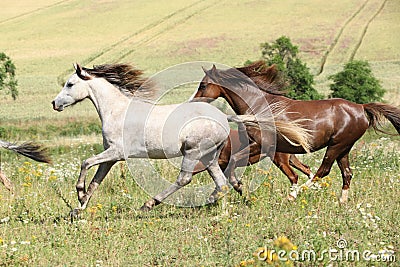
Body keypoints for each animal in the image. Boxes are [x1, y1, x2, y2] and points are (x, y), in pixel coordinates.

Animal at [193, 62, 400, 204]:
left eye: (203, 85)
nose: (193, 102)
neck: (258, 106)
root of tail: (361, 108)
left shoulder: (263, 145)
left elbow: (235, 160)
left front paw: (238, 186)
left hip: (336, 145)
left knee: (322, 171)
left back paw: (295, 194)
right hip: (344, 148)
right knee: (346, 174)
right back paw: (341, 202)